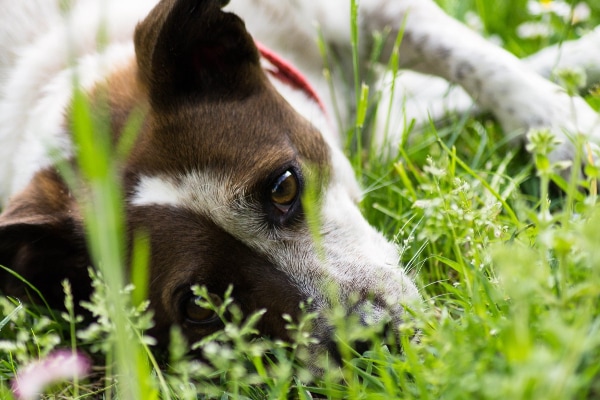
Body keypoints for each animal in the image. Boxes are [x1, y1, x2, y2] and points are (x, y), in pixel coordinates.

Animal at [0, 0, 596, 362]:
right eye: (200, 308)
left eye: (283, 187)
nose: (372, 340)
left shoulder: (365, 14)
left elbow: (484, 65)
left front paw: (572, 132)